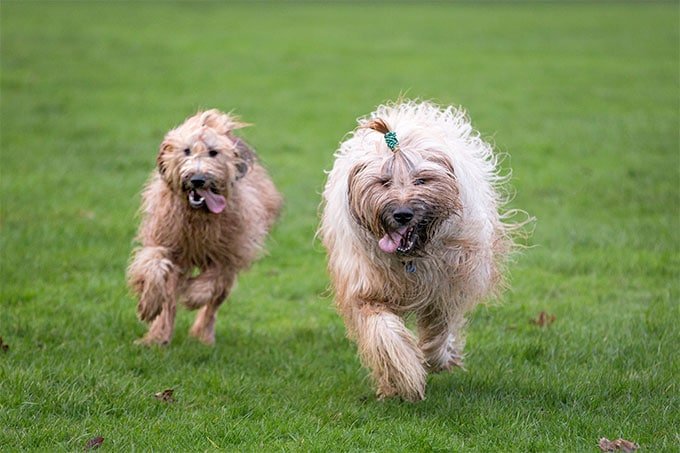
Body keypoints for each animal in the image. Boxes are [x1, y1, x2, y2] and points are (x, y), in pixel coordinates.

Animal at [127, 109, 282, 346]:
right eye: (186, 150)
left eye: (213, 152)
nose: (197, 179)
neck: (199, 218)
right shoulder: (165, 240)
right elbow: (153, 263)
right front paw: (149, 304)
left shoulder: (228, 253)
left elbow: (212, 280)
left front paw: (192, 294)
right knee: (170, 299)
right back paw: (158, 337)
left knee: (214, 302)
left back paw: (203, 335)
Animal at [318, 101, 524, 400]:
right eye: (384, 182)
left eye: (421, 181)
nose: (402, 214)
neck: (411, 256)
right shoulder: (365, 285)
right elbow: (383, 332)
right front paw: (402, 376)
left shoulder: (446, 281)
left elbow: (440, 323)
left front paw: (437, 358)